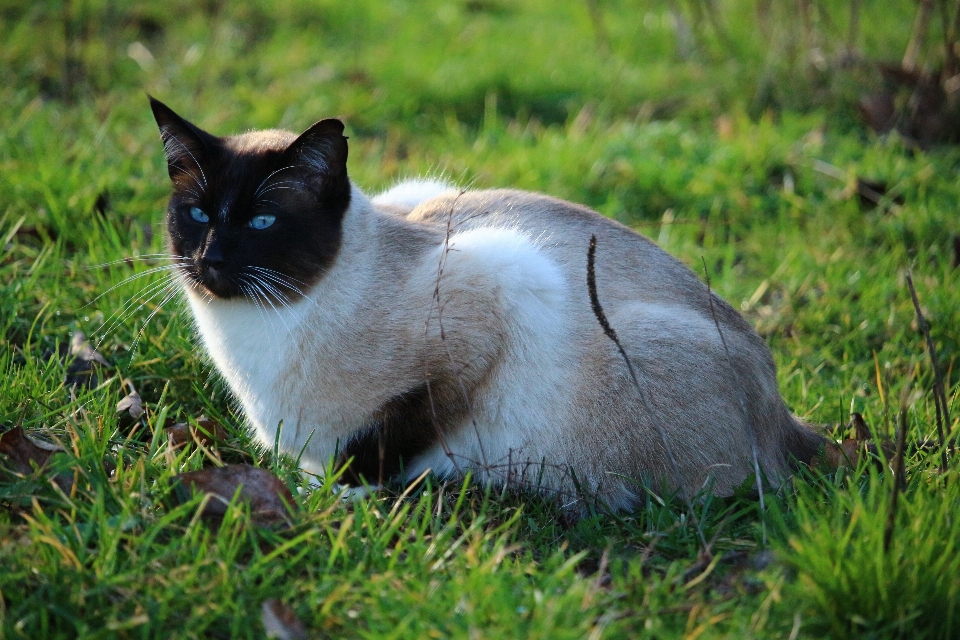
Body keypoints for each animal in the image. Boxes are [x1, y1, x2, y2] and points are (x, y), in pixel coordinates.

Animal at [152, 99, 824, 510]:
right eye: (198, 216)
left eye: (262, 222)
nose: (210, 261)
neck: (255, 334)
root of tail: (785, 421)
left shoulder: (494, 292)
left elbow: (381, 444)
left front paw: (339, 498)